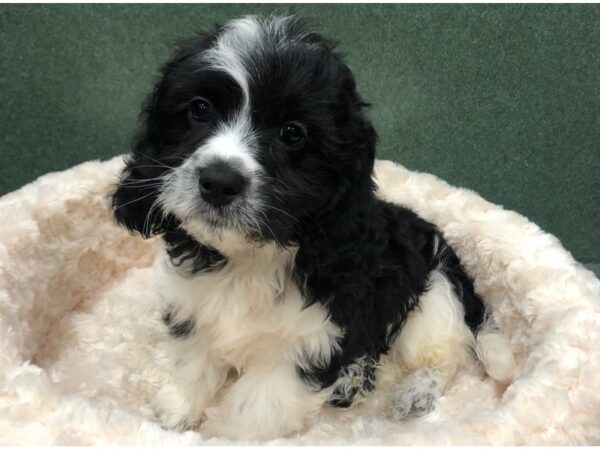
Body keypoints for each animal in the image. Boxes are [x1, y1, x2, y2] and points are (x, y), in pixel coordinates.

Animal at [111, 14, 516, 440]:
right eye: (200, 110)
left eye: (293, 133)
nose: (219, 181)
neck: (249, 260)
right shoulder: (192, 308)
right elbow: (194, 360)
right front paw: (179, 408)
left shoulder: (308, 343)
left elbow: (257, 409)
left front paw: (226, 435)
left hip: (433, 297)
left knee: (447, 353)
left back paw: (415, 391)